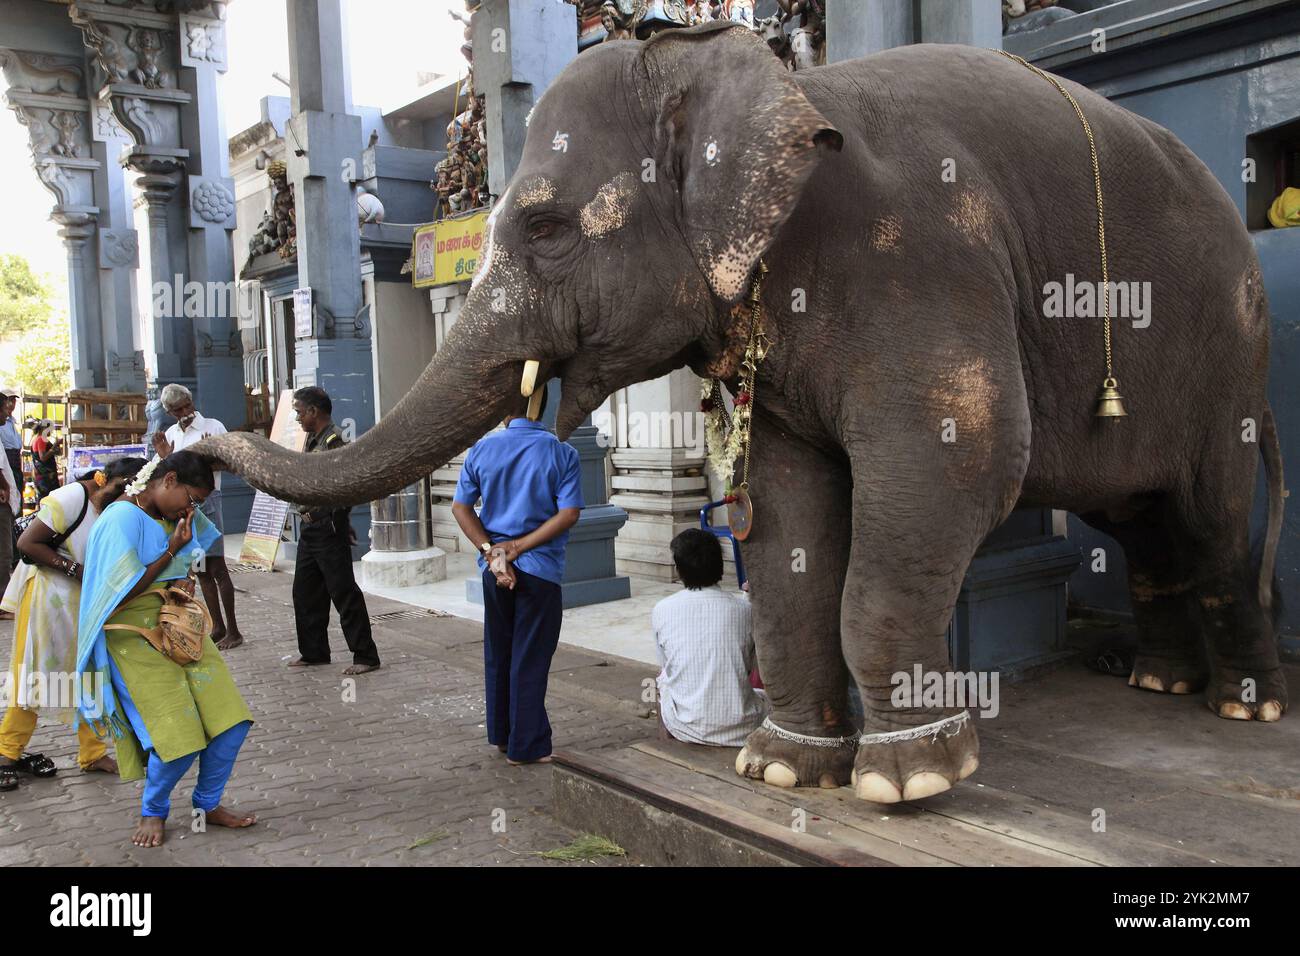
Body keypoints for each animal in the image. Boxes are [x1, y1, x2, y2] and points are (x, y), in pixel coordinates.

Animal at [197, 20, 1284, 801]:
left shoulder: (924, 261)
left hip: (1227, 354)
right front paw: (782, 768)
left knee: (1211, 519)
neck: (780, 86)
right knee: (1142, 525)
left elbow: (959, 463)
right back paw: (1160, 683)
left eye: (545, 227)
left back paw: (1245, 710)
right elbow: (789, 509)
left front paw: (909, 780)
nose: (199, 437)